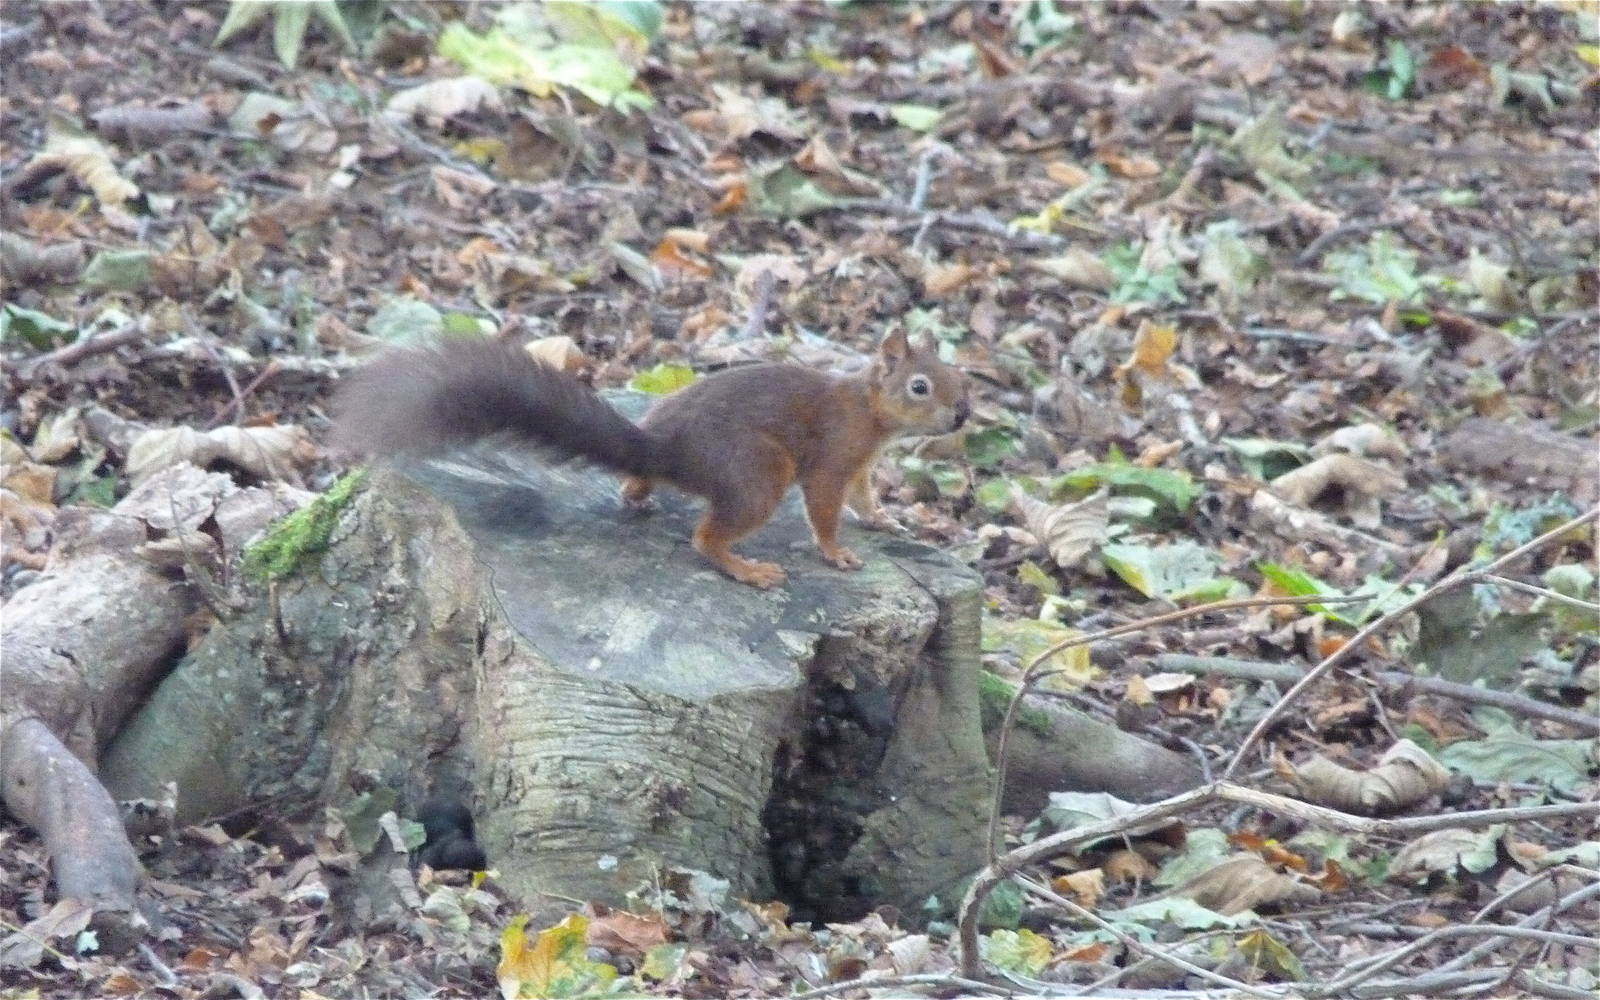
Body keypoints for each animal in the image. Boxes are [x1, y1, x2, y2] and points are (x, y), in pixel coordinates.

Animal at [332, 329, 968, 588]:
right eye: (920, 386)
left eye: (956, 375)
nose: (962, 417)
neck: (870, 412)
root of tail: (669, 448)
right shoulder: (834, 457)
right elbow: (827, 509)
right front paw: (837, 553)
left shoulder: (861, 466)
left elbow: (864, 499)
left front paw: (885, 521)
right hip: (761, 472)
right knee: (705, 538)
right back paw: (746, 569)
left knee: (639, 481)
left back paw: (639, 496)